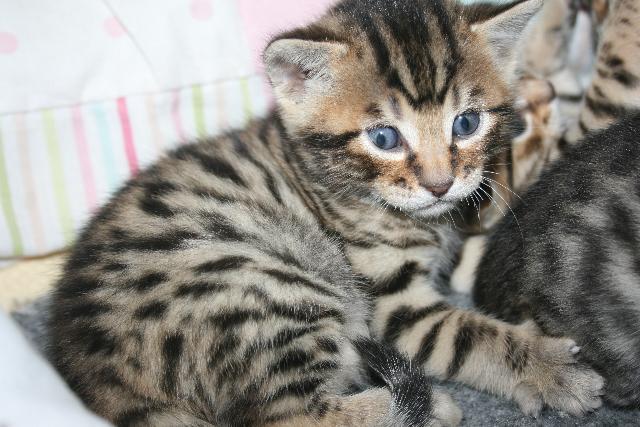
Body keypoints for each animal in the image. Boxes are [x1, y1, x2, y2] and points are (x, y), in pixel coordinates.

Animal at [51, 1, 604, 426]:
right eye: (384, 138)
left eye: (466, 124)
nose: (440, 183)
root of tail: (95, 378)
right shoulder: (390, 303)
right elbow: (467, 335)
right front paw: (549, 368)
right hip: (272, 288)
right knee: (286, 416)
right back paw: (428, 408)